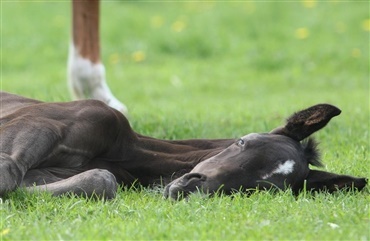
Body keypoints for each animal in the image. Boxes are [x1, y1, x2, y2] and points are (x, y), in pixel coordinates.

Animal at [0, 91, 366, 200]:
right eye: (242, 142)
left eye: (260, 187)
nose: (191, 186)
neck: (127, 154)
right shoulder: (43, 123)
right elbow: (9, 170)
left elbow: (101, 179)